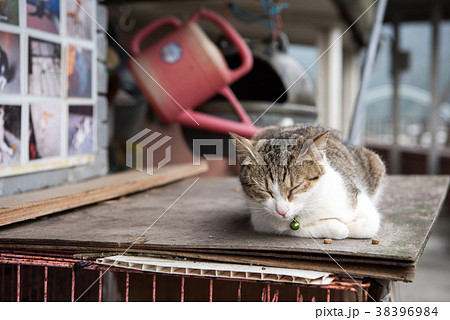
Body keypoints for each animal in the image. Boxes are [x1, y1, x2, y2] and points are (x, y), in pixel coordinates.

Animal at [230, 124, 384, 239]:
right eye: (265, 190)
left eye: (295, 187)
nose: (282, 211)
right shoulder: (260, 220)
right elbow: (291, 229)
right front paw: (335, 227)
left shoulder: (356, 200)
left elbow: (367, 225)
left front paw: (342, 225)